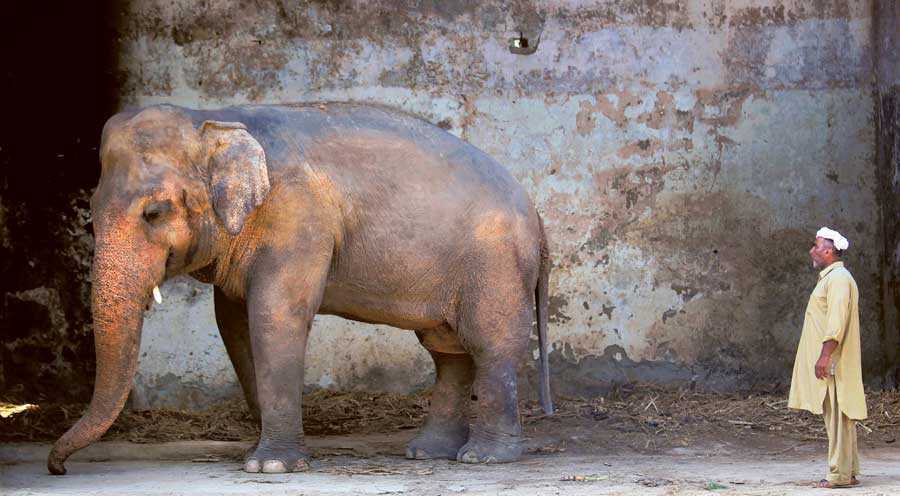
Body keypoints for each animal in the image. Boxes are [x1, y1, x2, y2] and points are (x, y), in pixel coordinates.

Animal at [51, 102, 556, 474]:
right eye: (90, 211)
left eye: (154, 213)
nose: (58, 467)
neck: (214, 118)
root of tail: (537, 214)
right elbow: (233, 323)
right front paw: (260, 454)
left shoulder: (297, 217)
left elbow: (276, 315)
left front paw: (271, 467)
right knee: (449, 351)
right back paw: (426, 453)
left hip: (495, 265)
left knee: (490, 344)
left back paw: (483, 458)